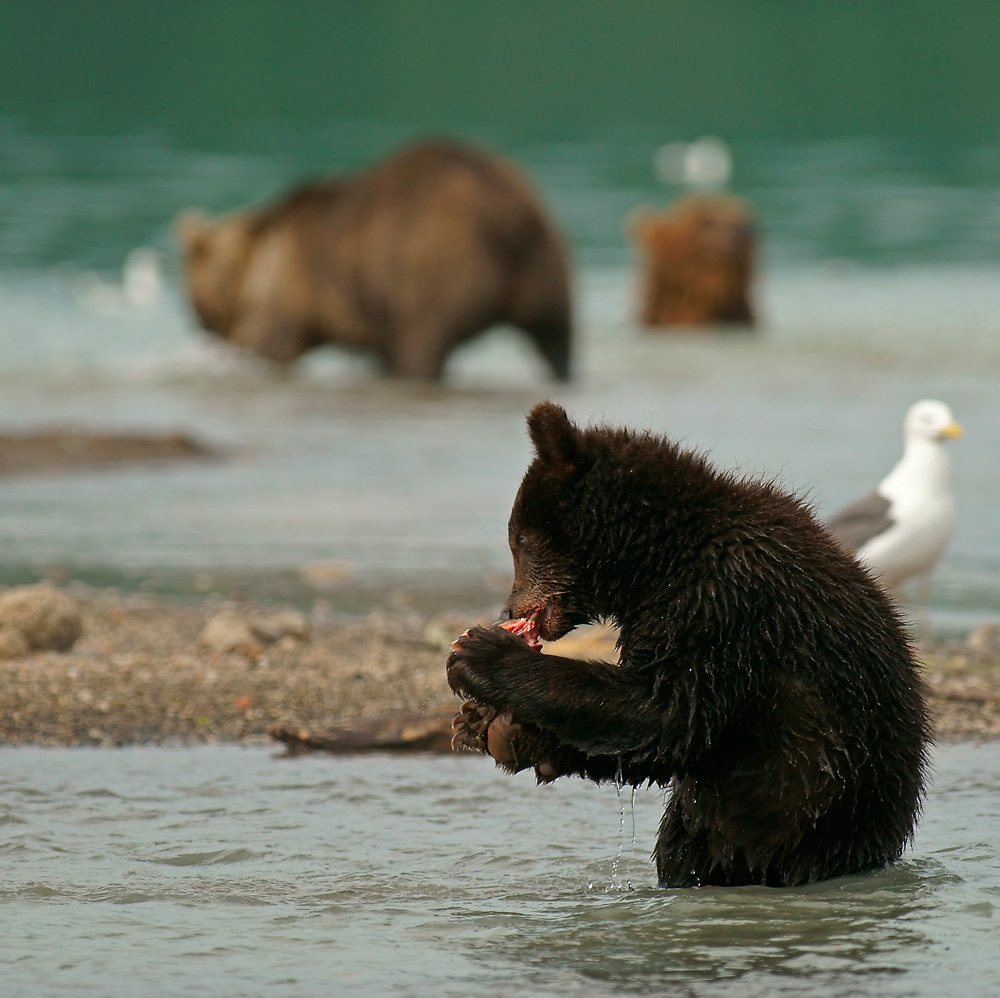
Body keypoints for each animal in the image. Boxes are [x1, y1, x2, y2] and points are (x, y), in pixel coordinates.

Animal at [176, 137, 576, 378]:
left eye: (192, 293)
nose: (199, 324)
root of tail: (510, 215)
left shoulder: (286, 285)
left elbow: (268, 344)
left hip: (434, 263)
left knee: (420, 343)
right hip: (546, 263)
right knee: (557, 339)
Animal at [446, 402, 928, 888]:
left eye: (519, 539)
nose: (509, 608)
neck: (655, 561)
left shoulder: (722, 604)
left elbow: (670, 712)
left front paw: (480, 658)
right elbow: (647, 745)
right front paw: (496, 728)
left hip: (818, 813)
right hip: (709, 827)